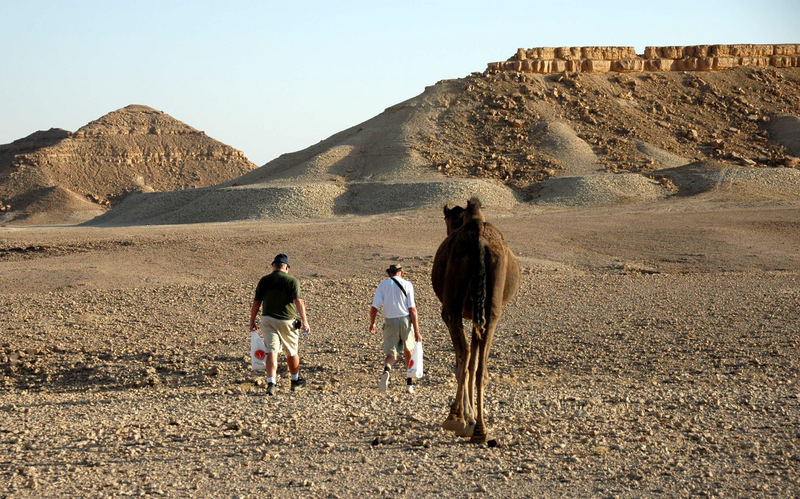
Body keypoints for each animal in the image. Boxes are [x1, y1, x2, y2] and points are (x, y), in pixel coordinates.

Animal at [432, 197, 520, 444]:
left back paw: (455, 418)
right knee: (481, 364)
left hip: (452, 307)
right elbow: (474, 360)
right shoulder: (476, 316)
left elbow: (464, 357)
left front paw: (463, 417)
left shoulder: (456, 313)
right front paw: (470, 418)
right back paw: (480, 430)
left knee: (464, 352)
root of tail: (479, 242)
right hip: (492, 308)